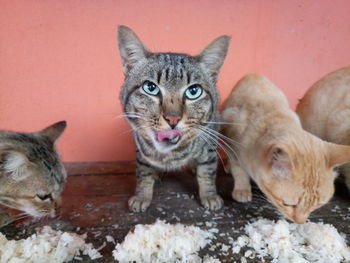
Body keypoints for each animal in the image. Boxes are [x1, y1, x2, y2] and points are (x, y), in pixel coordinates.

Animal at [117, 25, 230, 213]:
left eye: (194, 91)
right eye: (150, 88)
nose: (172, 119)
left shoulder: (210, 141)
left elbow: (207, 171)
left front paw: (209, 195)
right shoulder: (140, 146)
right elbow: (143, 171)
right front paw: (142, 195)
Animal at [223, 75, 350, 225]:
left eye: (318, 204)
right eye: (288, 204)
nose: (300, 222)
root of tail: (253, 74)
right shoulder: (230, 140)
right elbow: (239, 170)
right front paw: (242, 189)